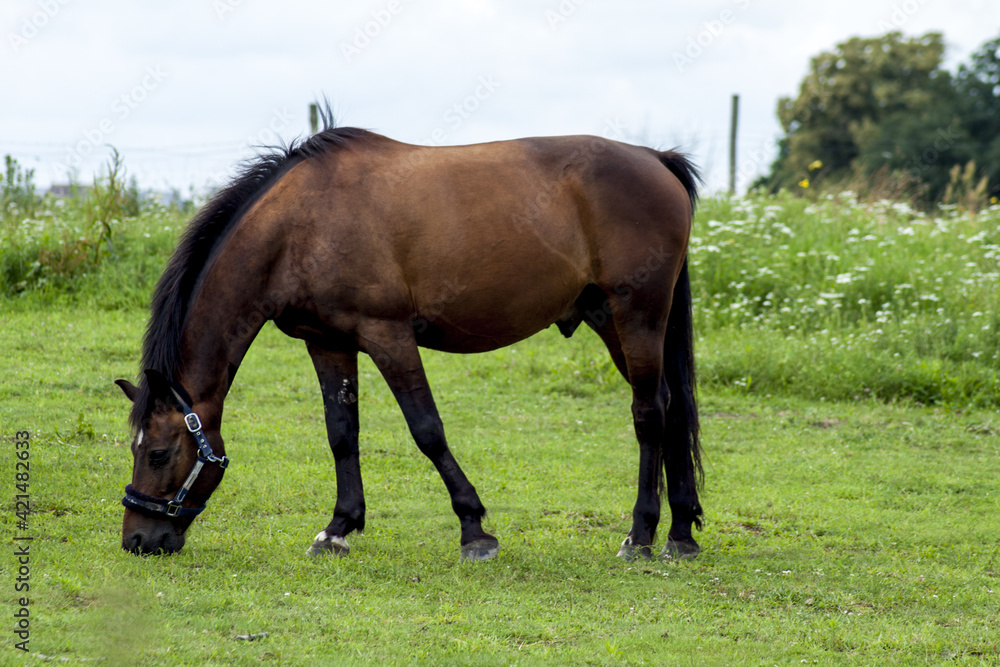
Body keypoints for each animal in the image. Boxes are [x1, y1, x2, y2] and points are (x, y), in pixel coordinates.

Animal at [115, 111, 703, 562]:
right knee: (672, 406)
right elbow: (341, 432)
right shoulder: (327, 341)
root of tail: (656, 158)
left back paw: (640, 536)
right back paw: (680, 534)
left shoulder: (388, 335)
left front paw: (474, 529)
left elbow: (427, 430)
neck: (300, 226)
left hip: (638, 314)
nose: (139, 540)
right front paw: (338, 528)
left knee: (649, 413)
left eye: (160, 453)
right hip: (611, 319)